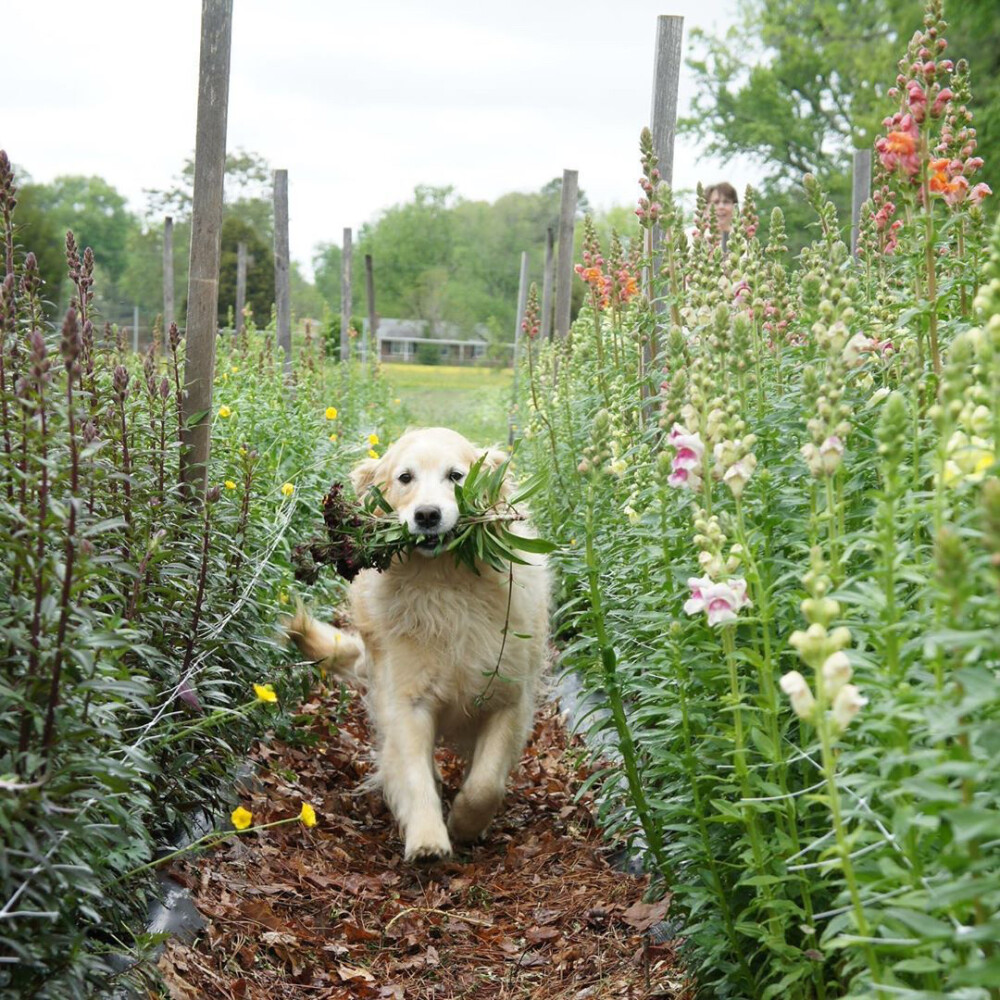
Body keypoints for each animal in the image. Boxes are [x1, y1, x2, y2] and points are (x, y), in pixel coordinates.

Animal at [286, 426, 552, 864]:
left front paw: (464, 823)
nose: (427, 515)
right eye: (405, 478)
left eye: (457, 476)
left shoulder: (508, 698)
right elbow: (412, 770)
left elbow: (486, 784)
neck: (445, 583)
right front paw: (427, 838)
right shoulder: (406, 699)